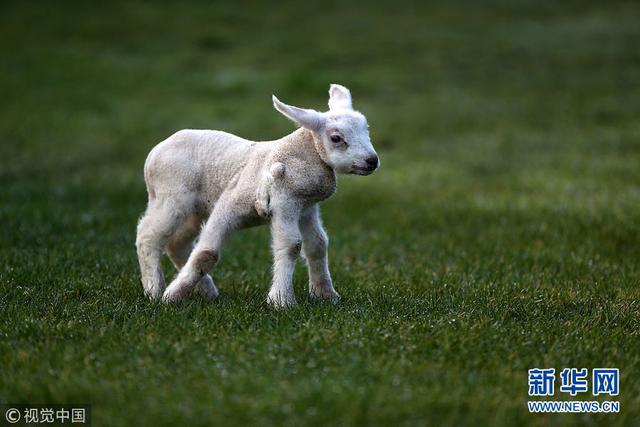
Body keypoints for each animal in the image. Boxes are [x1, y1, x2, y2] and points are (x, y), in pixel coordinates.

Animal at [132, 83, 378, 308]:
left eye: (367, 129)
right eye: (336, 138)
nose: (372, 161)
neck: (299, 153)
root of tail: (155, 152)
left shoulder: (306, 206)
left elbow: (317, 244)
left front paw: (326, 294)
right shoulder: (255, 200)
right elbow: (212, 253)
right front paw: (282, 301)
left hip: (196, 210)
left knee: (176, 243)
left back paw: (206, 290)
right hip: (171, 196)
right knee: (148, 235)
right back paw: (155, 290)